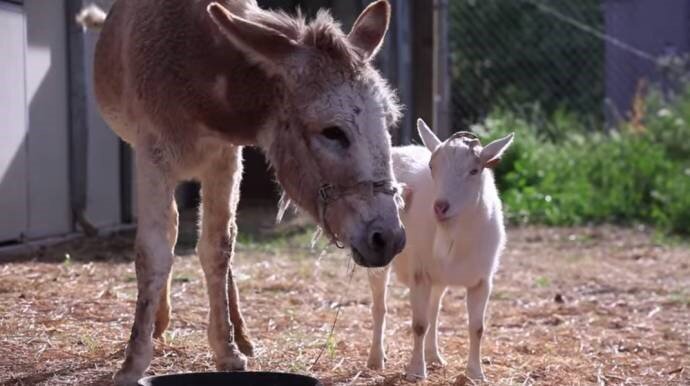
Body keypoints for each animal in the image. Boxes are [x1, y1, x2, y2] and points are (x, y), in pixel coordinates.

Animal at [366, 120, 510, 380]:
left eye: (474, 171)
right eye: (432, 166)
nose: (441, 207)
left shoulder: (482, 281)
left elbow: (477, 328)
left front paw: (476, 373)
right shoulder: (420, 274)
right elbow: (419, 324)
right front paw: (416, 371)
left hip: (440, 276)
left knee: (434, 309)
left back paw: (434, 356)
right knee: (380, 306)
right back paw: (376, 359)